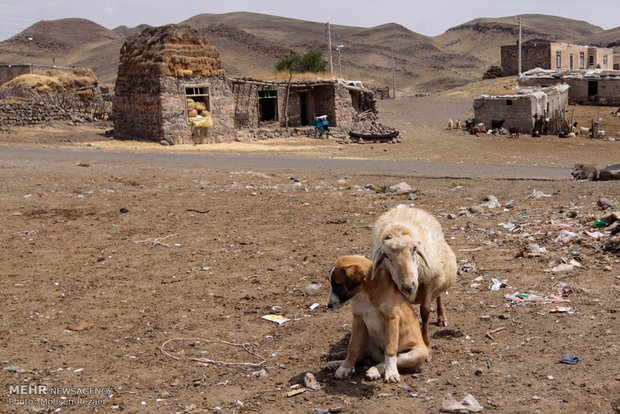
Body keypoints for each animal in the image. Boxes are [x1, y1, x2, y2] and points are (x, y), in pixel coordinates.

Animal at [324, 254, 432, 384]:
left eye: (337, 284)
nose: (329, 305)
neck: (364, 294)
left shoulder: (391, 320)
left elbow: (390, 351)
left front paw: (391, 373)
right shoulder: (358, 321)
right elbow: (352, 348)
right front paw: (345, 368)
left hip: (416, 354)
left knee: (392, 360)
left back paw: (375, 370)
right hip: (367, 335)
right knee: (361, 357)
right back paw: (337, 362)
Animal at [370, 206, 458, 346]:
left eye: (414, 250)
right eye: (386, 256)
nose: (408, 286)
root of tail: (406, 207)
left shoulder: (429, 282)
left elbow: (425, 311)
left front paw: (426, 340)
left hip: (440, 274)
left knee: (439, 295)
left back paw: (441, 316)